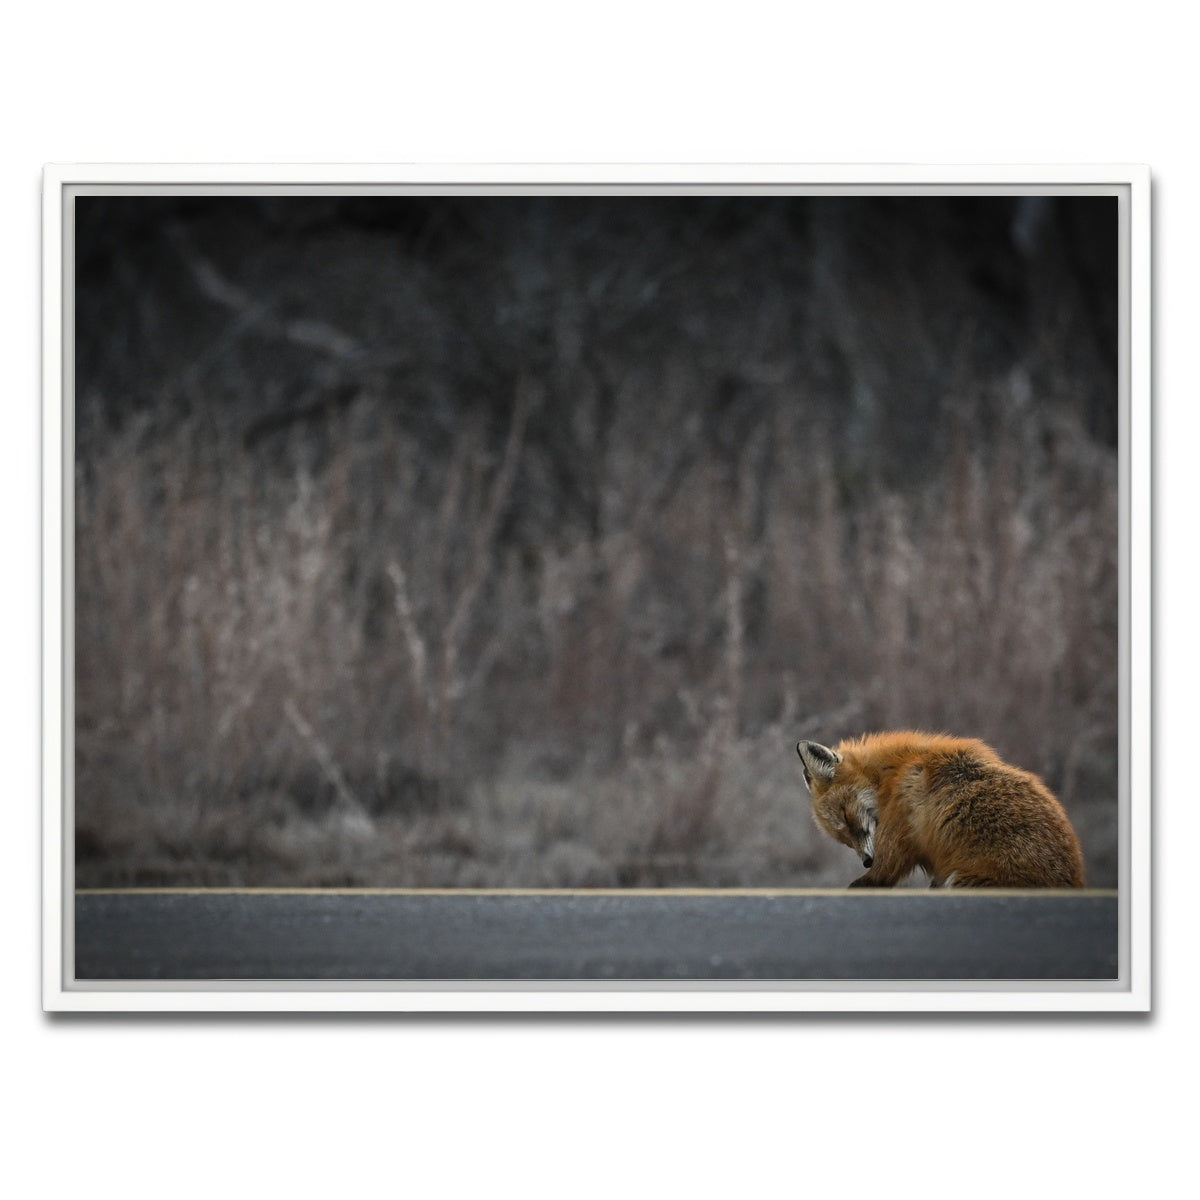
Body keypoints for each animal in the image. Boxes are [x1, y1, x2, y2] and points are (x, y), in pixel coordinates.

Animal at [795, 731, 1085, 888]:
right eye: (843, 839)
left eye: (846, 816)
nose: (867, 860)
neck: (892, 774)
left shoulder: (896, 841)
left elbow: (878, 875)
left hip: (959, 881)